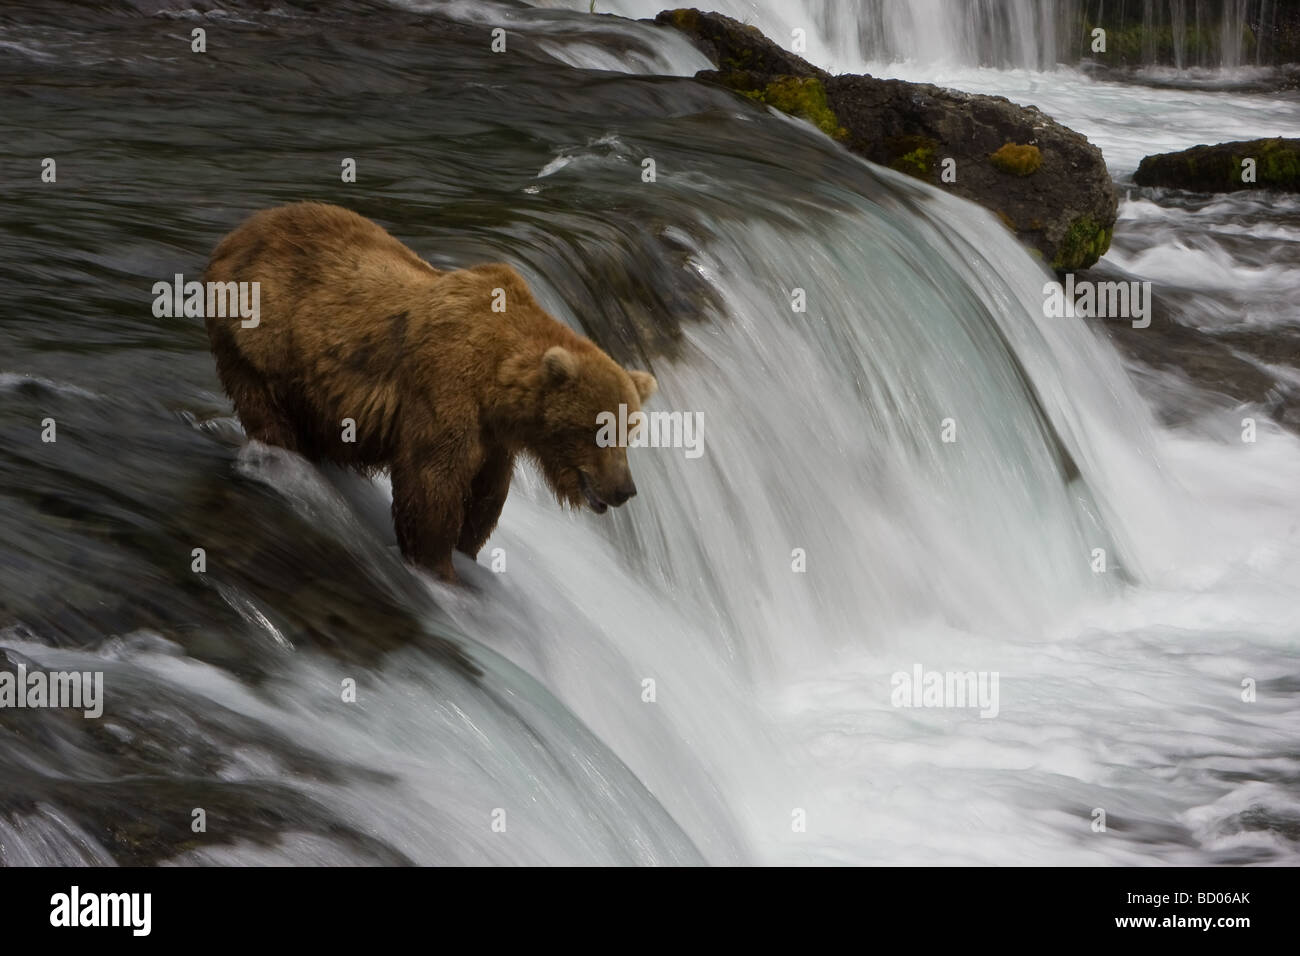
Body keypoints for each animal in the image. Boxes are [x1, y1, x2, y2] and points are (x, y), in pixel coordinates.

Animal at [206, 201, 655, 582]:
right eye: (600, 429)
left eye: (629, 432)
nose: (625, 490)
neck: (497, 386)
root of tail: (238, 233)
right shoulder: (446, 388)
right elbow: (432, 484)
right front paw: (438, 566)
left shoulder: (495, 439)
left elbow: (487, 497)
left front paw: (466, 550)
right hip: (260, 337)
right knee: (266, 409)